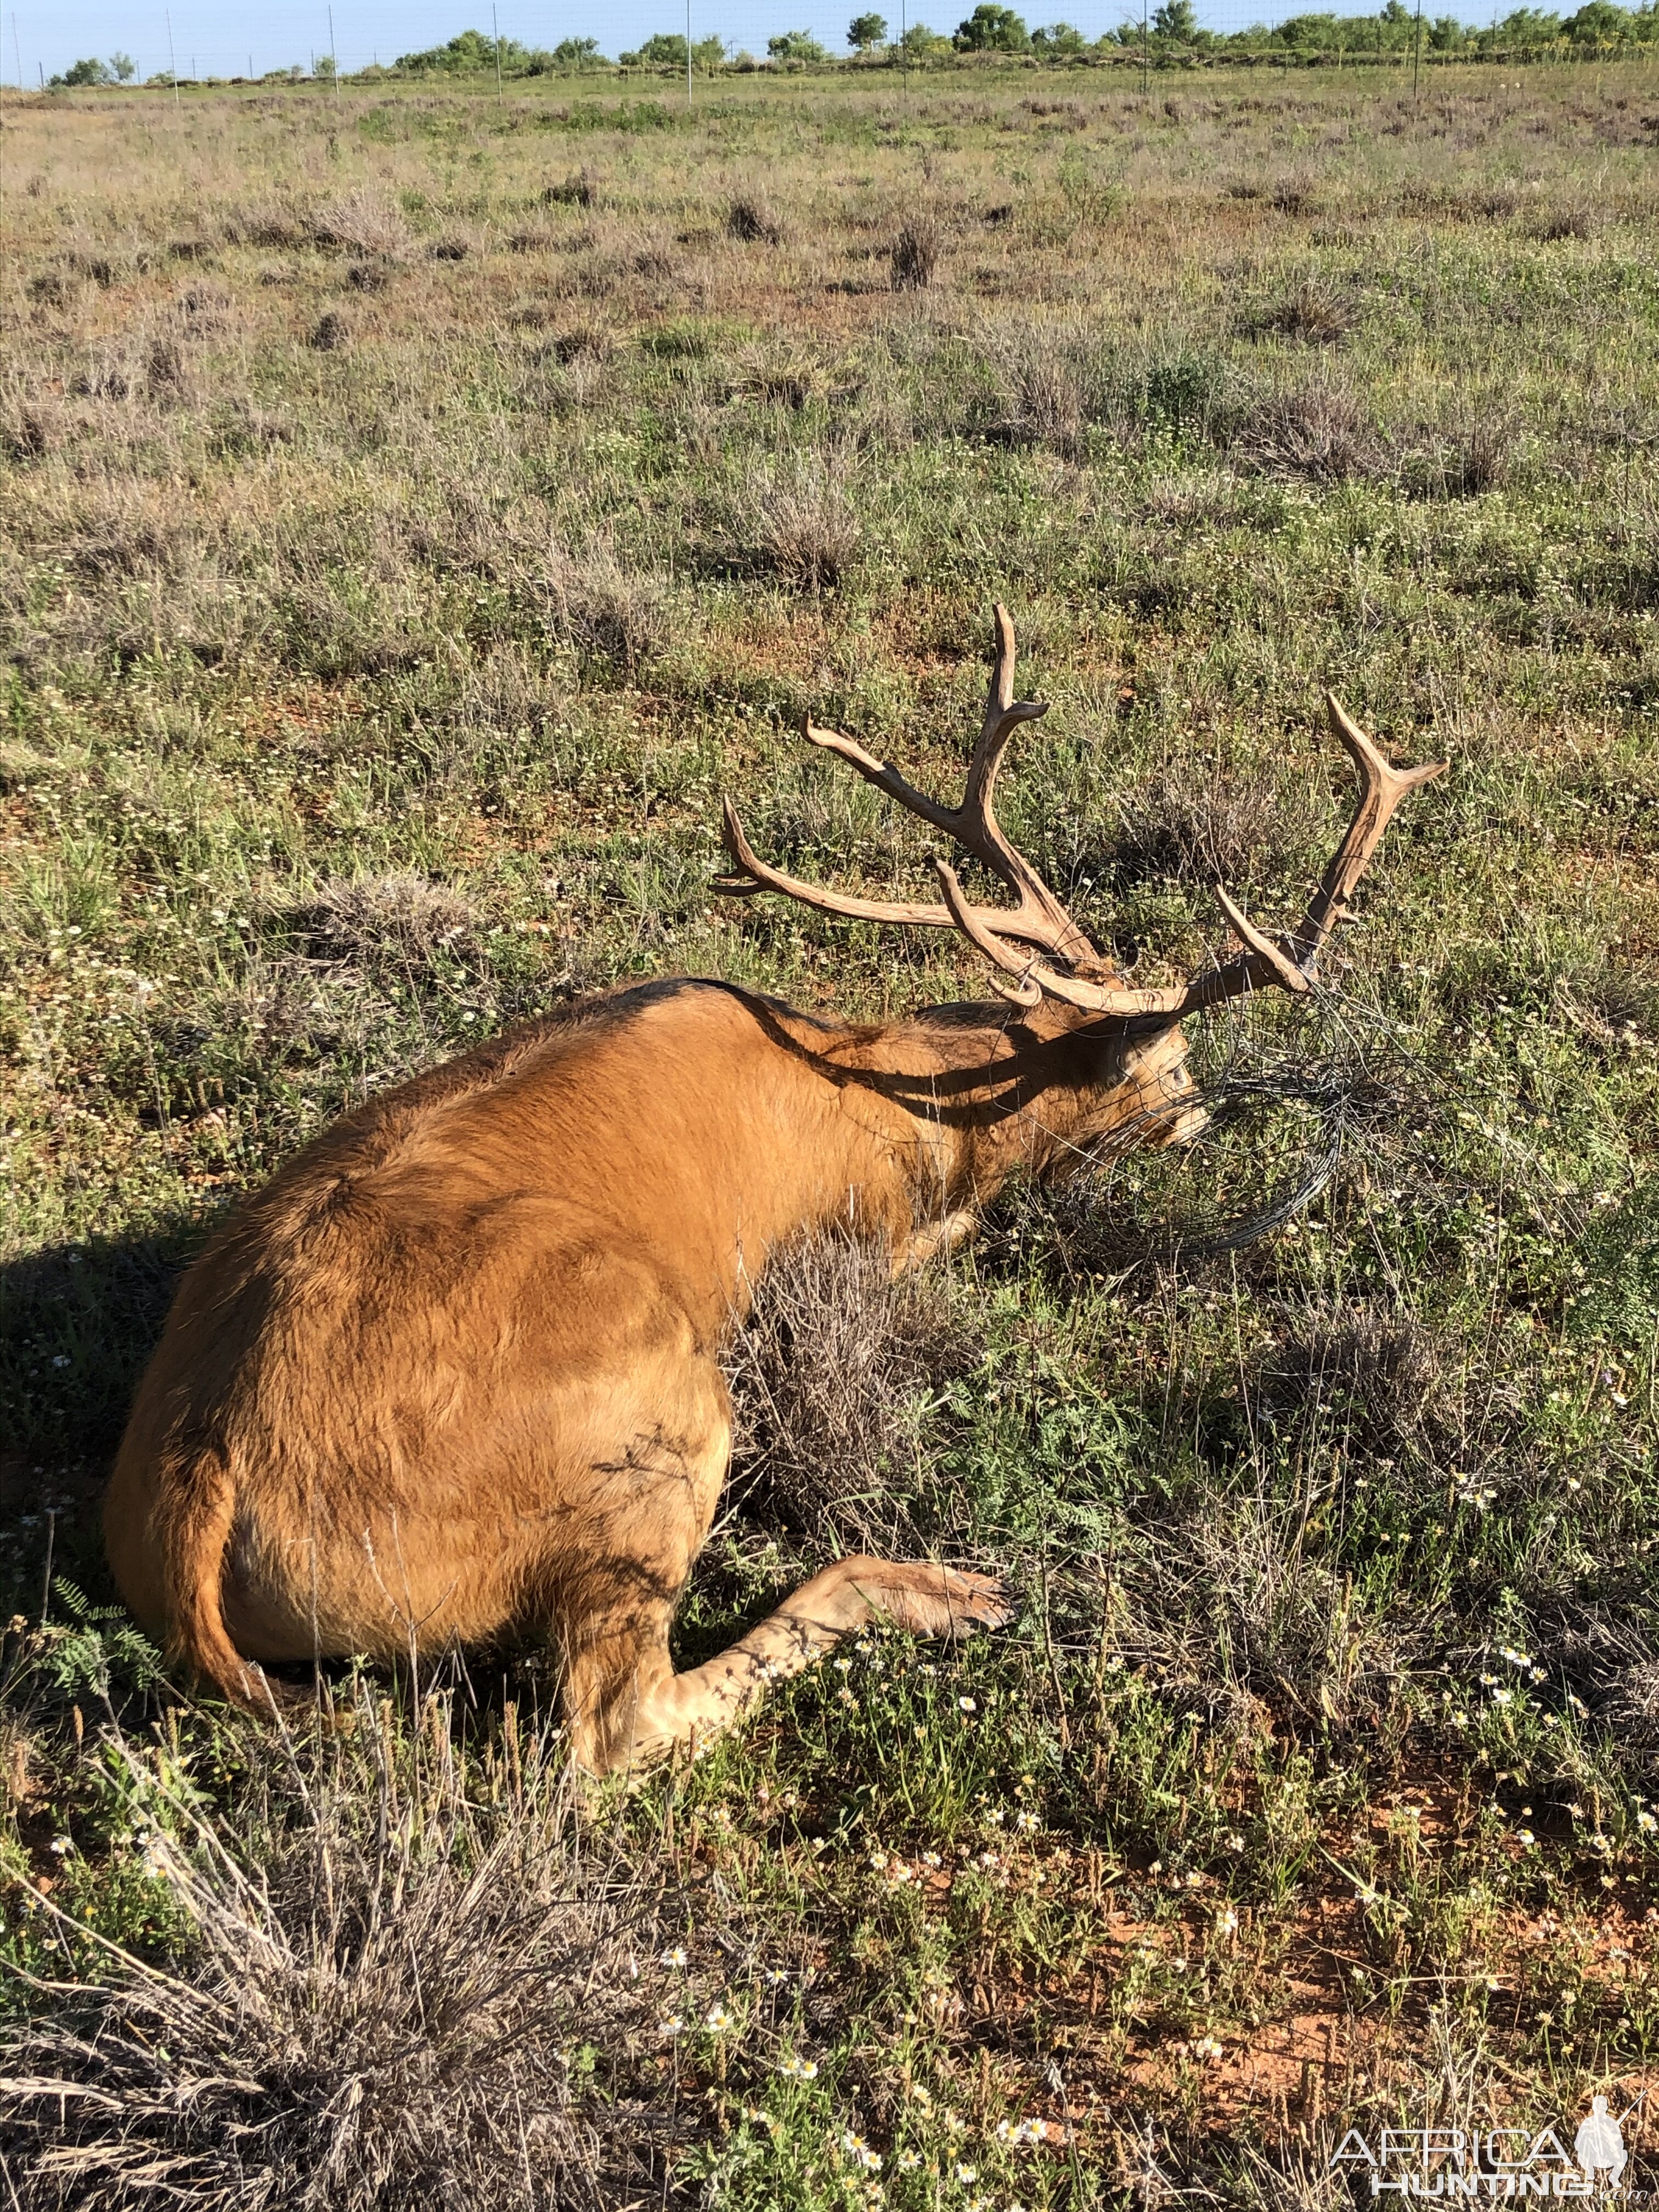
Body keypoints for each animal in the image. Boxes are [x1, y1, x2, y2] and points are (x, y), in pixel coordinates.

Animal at [100, 610, 1442, 1778]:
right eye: (1174, 1068)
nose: (1207, 1111)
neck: (917, 1095)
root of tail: (201, 1482)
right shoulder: (862, 1243)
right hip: (656, 1425)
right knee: (610, 1726)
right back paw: (934, 1590)